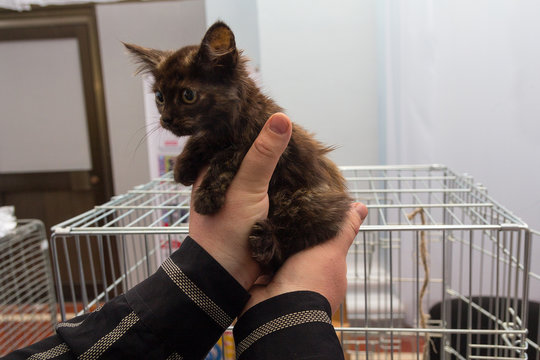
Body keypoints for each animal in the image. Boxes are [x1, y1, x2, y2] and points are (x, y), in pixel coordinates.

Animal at [127, 21, 354, 270]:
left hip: (303, 200)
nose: (166, 119)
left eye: (188, 95)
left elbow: (226, 156)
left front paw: (206, 195)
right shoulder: (211, 134)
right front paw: (183, 166)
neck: (225, 126)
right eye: (159, 97)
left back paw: (266, 241)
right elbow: (199, 140)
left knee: (293, 240)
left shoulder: (258, 138)